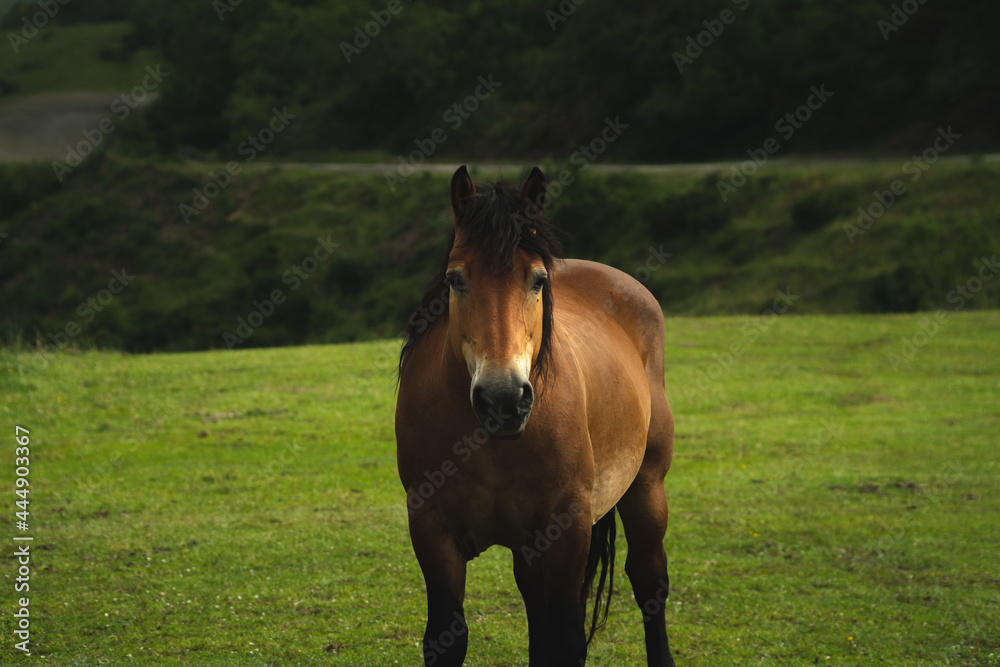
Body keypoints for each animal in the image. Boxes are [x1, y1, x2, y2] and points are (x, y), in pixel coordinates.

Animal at [396, 165, 676, 666]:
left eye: (538, 280)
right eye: (455, 280)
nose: (503, 399)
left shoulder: (568, 526)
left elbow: (565, 638)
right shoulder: (430, 528)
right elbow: (446, 637)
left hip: (646, 487)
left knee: (649, 582)